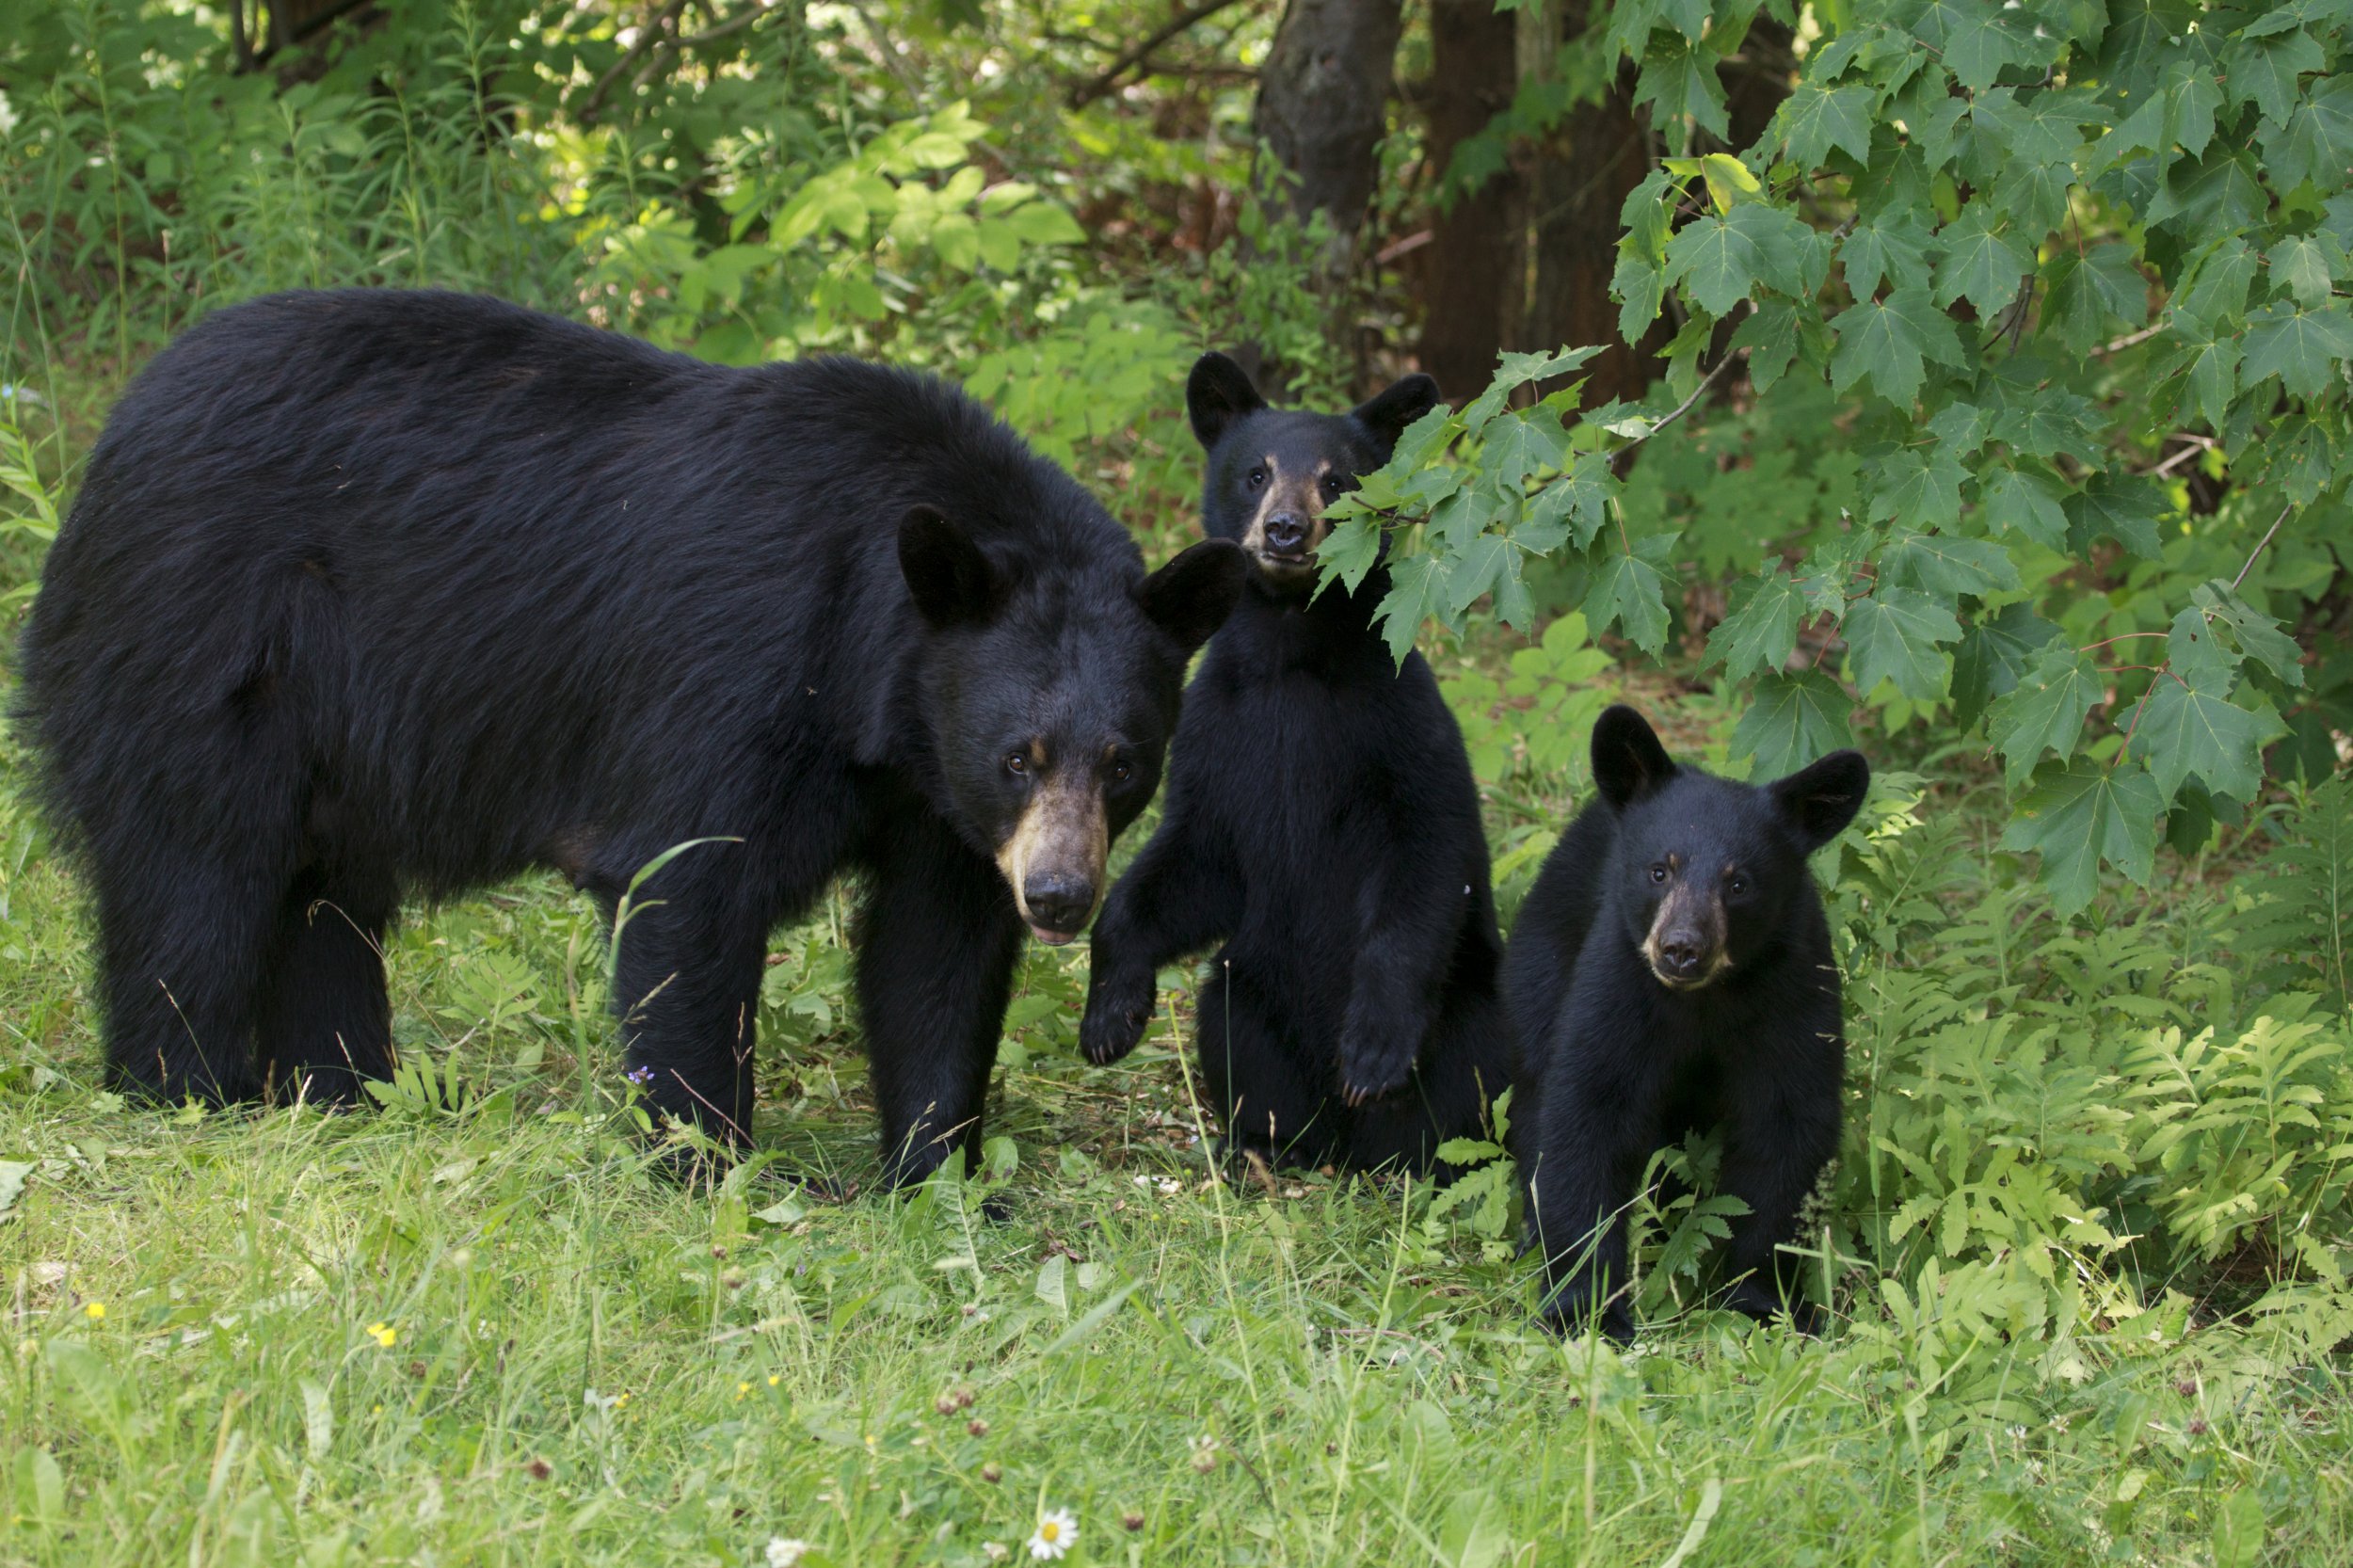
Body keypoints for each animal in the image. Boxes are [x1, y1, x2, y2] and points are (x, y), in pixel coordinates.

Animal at [23, 287, 1252, 1176]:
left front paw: (937, 1171)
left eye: (1125, 764)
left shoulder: (929, 792)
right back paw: (189, 1090)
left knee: (322, 902)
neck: (873, 683)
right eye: (1019, 756)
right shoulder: (731, 676)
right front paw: (712, 1160)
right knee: (195, 878)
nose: (1060, 897)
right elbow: (686, 891)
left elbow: (933, 952)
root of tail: (109, 438)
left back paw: (352, 1088)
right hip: (201, 650)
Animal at [1078, 348, 1506, 1167]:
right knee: (1234, 1029)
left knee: (1466, 1085)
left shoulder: (1399, 725)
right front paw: (1110, 1014)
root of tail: (1347, 1148)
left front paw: (1373, 1048)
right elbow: (1192, 858)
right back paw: (1262, 1147)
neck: (1289, 656)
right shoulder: (1217, 733)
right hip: (1251, 987)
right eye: (1255, 472)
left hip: (1470, 1008)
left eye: (1337, 480)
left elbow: (1426, 853)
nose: (1284, 530)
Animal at [1506, 706, 1873, 1327]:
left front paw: (1763, 1297)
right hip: (1543, 961)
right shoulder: (1620, 983)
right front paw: (1587, 1309)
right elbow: (1588, 1111)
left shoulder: (1793, 987)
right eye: (1660, 870)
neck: (1705, 998)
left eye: (1738, 883)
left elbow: (1787, 1124)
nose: (1681, 948)